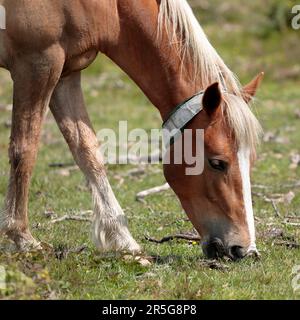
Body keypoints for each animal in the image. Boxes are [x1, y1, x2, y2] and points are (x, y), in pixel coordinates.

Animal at [0, 0, 262, 260]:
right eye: (218, 163)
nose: (245, 249)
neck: (105, 7)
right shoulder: (38, 63)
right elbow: (24, 149)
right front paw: (21, 237)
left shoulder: (66, 73)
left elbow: (88, 152)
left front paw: (122, 239)